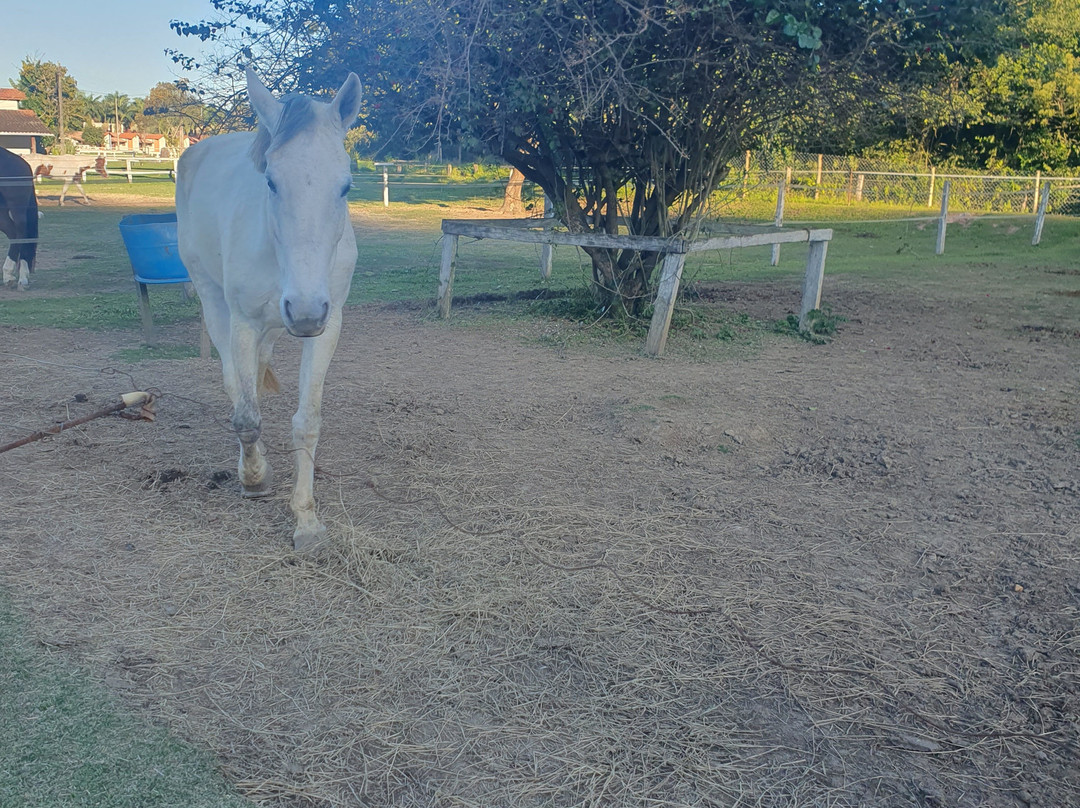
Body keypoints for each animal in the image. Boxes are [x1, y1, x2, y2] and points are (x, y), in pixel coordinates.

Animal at [176, 67, 362, 552]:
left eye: (346, 185)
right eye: (272, 181)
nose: (305, 311)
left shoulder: (326, 325)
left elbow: (306, 421)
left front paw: (307, 521)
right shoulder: (243, 322)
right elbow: (246, 416)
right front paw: (255, 479)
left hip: (278, 325)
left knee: (257, 371)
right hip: (214, 302)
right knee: (236, 385)